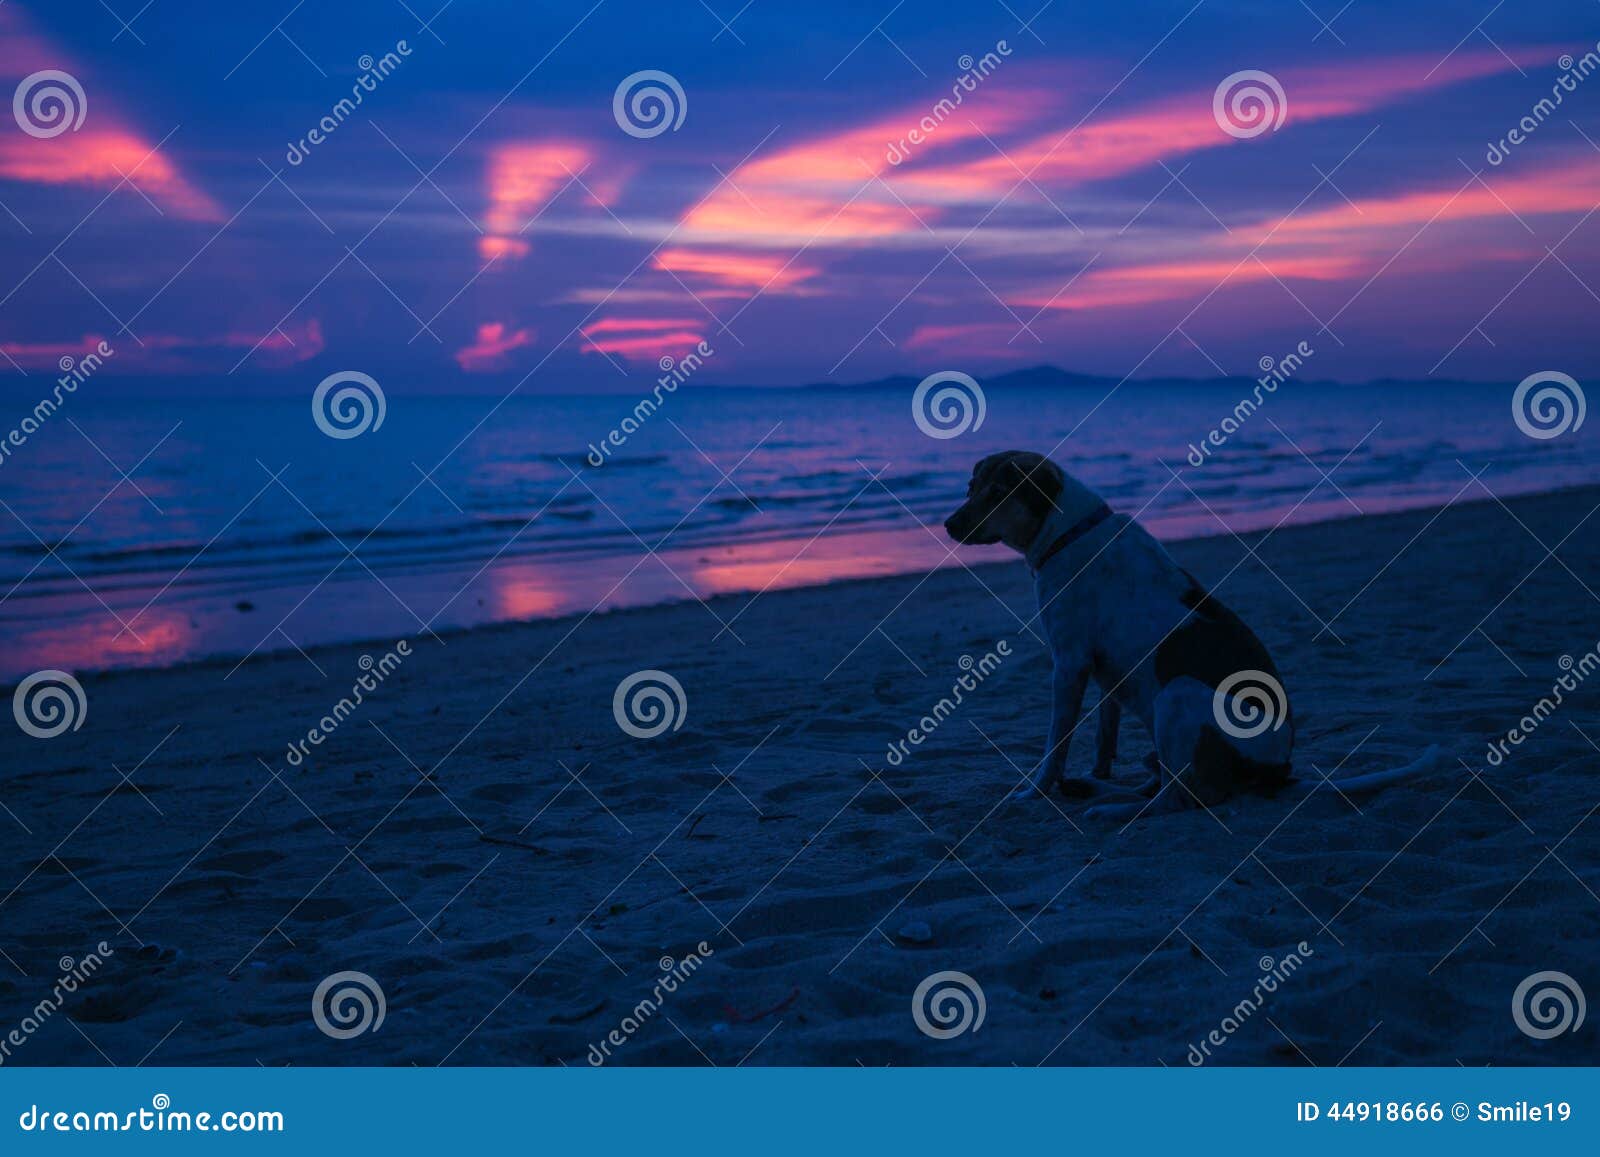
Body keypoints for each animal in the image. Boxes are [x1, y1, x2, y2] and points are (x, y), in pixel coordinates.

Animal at [947, 448, 1440, 819]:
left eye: (998, 494)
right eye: (972, 489)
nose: (949, 525)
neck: (1070, 531)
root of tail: (1280, 769)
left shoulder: (1069, 665)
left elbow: (1055, 747)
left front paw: (1035, 791)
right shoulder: (1103, 673)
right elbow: (1105, 737)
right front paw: (1098, 774)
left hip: (1177, 695)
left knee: (1179, 799)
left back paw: (1110, 809)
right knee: (1164, 782)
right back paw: (1099, 790)